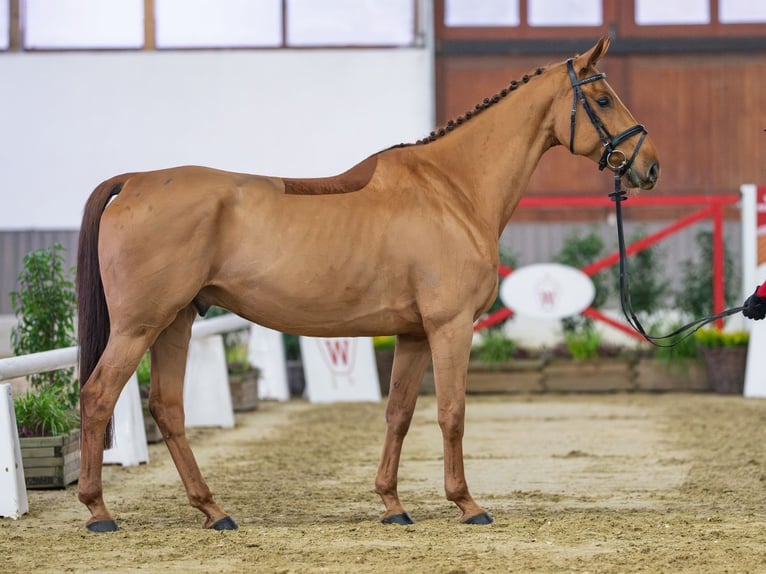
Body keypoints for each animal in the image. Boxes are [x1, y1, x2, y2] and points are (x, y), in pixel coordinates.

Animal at [76, 36, 659, 532]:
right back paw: (99, 511)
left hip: (175, 321)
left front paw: (392, 505)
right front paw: (467, 503)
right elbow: (452, 412)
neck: (452, 190)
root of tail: (135, 181)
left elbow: (398, 414)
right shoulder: (450, 327)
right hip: (139, 326)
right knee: (99, 395)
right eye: (603, 99)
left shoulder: (414, 334)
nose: (649, 167)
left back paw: (213, 511)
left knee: (167, 407)